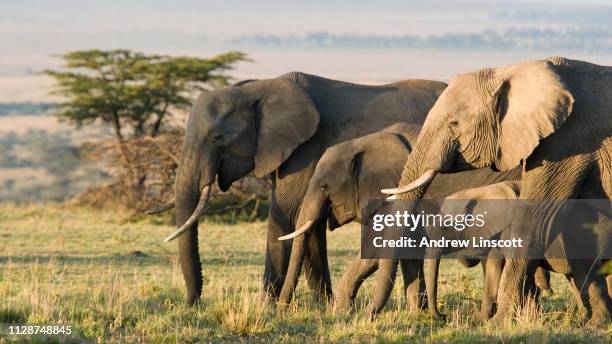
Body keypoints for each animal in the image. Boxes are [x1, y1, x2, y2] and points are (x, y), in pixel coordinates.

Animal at [146, 72, 448, 304]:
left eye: (217, 137)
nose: (191, 304)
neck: (257, 89)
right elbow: (308, 225)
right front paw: (322, 306)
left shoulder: (305, 150)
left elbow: (286, 216)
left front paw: (267, 307)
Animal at [278, 122, 520, 314]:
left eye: (324, 186)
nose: (282, 308)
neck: (364, 142)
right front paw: (417, 313)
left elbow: (376, 248)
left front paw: (341, 310)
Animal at [426, 181, 612, 324]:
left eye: (445, 227)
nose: (443, 316)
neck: (481, 191)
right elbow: (497, 268)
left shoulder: (510, 230)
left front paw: (482, 321)